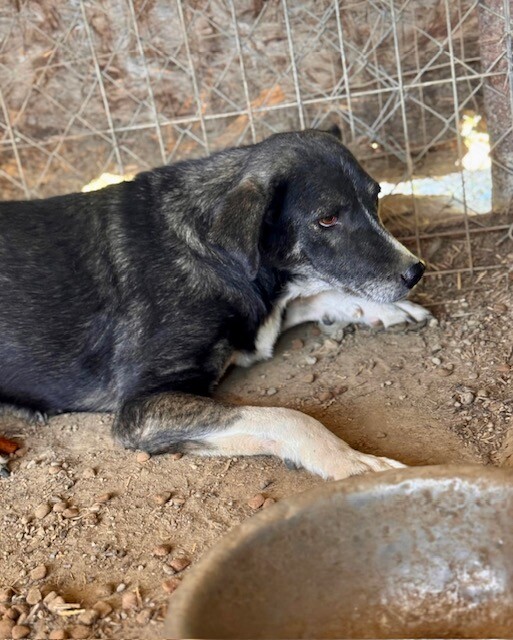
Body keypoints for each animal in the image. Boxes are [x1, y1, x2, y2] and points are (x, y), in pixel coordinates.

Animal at [0, 127, 431, 479]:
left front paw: (382, 310)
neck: (211, 254)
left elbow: (311, 298)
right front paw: (352, 460)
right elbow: (286, 416)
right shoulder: (140, 409)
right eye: (327, 219)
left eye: (376, 197)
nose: (416, 272)